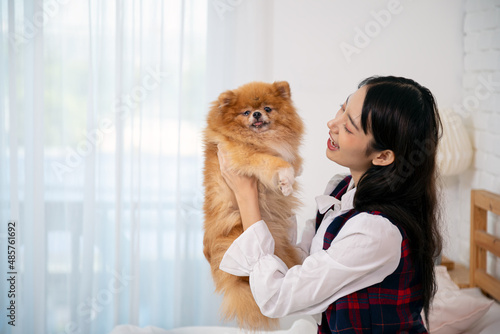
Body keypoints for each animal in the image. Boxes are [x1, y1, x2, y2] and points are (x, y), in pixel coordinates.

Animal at [203, 81, 304, 328]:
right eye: (246, 112)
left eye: (267, 108)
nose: (257, 114)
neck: (262, 138)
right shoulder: (246, 155)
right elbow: (278, 163)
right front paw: (286, 179)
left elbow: (294, 162)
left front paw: (291, 178)